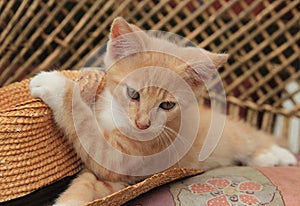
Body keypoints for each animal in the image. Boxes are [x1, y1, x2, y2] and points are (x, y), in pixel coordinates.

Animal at [29, 16, 296, 205]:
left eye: (167, 105)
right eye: (133, 94)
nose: (143, 124)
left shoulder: (125, 158)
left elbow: (87, 129)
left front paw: (55, 84)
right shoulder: (114, 179)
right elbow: (86, 184)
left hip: (236, 135)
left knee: (253, 137)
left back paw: (278, 155)